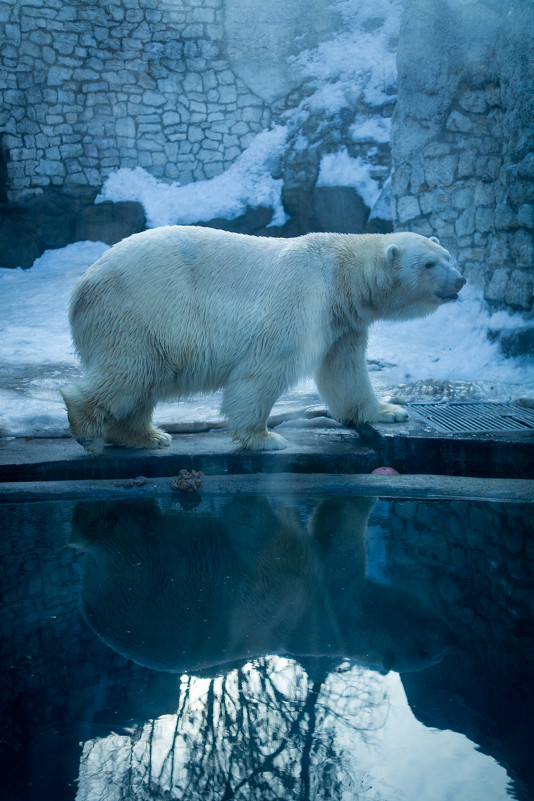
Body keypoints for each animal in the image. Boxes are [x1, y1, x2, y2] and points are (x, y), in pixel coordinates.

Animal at [61, 225, 464, 454]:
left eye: (447, 255)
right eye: (428, 264)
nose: (460, 280)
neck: (338, 277)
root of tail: (83, 284)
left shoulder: (342, 323)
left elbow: (345, 371)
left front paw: (389, 411)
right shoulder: (303, 298)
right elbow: (266, 368)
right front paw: (265, 438)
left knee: (144, 379)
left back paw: (148, 436)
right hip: (140, 308)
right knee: (130, 370)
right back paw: (89, 431)